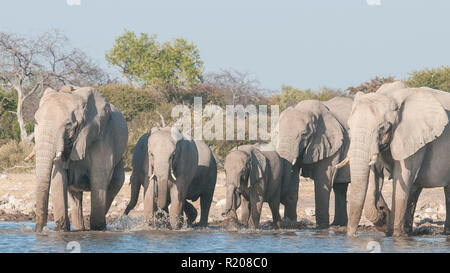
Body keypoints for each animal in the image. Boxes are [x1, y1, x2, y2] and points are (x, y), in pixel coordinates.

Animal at [33, 86, 127, 231]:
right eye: (35, 122)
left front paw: (97, 229)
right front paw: (61, 230)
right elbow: (59, 179)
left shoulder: (102, 136)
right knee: (75, 196)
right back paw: (79, 229)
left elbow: (99, 178)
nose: (40, 229)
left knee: (113, 186)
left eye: (68, 124)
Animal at [276, 96, 354, 227]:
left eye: (303, 134)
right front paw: (290, 223)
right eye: (277, 133)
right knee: (340, 188)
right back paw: (338, 224)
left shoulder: (331, 144)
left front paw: (321, 227)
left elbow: (323, 178)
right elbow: (293, 177)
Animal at [346, 81, 448, 236]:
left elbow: (403, 177)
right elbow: (375, 176)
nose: (351, 235)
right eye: (349, 128)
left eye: (382, 128)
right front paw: (385, 221)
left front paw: (395, 234)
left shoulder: (412, 137)